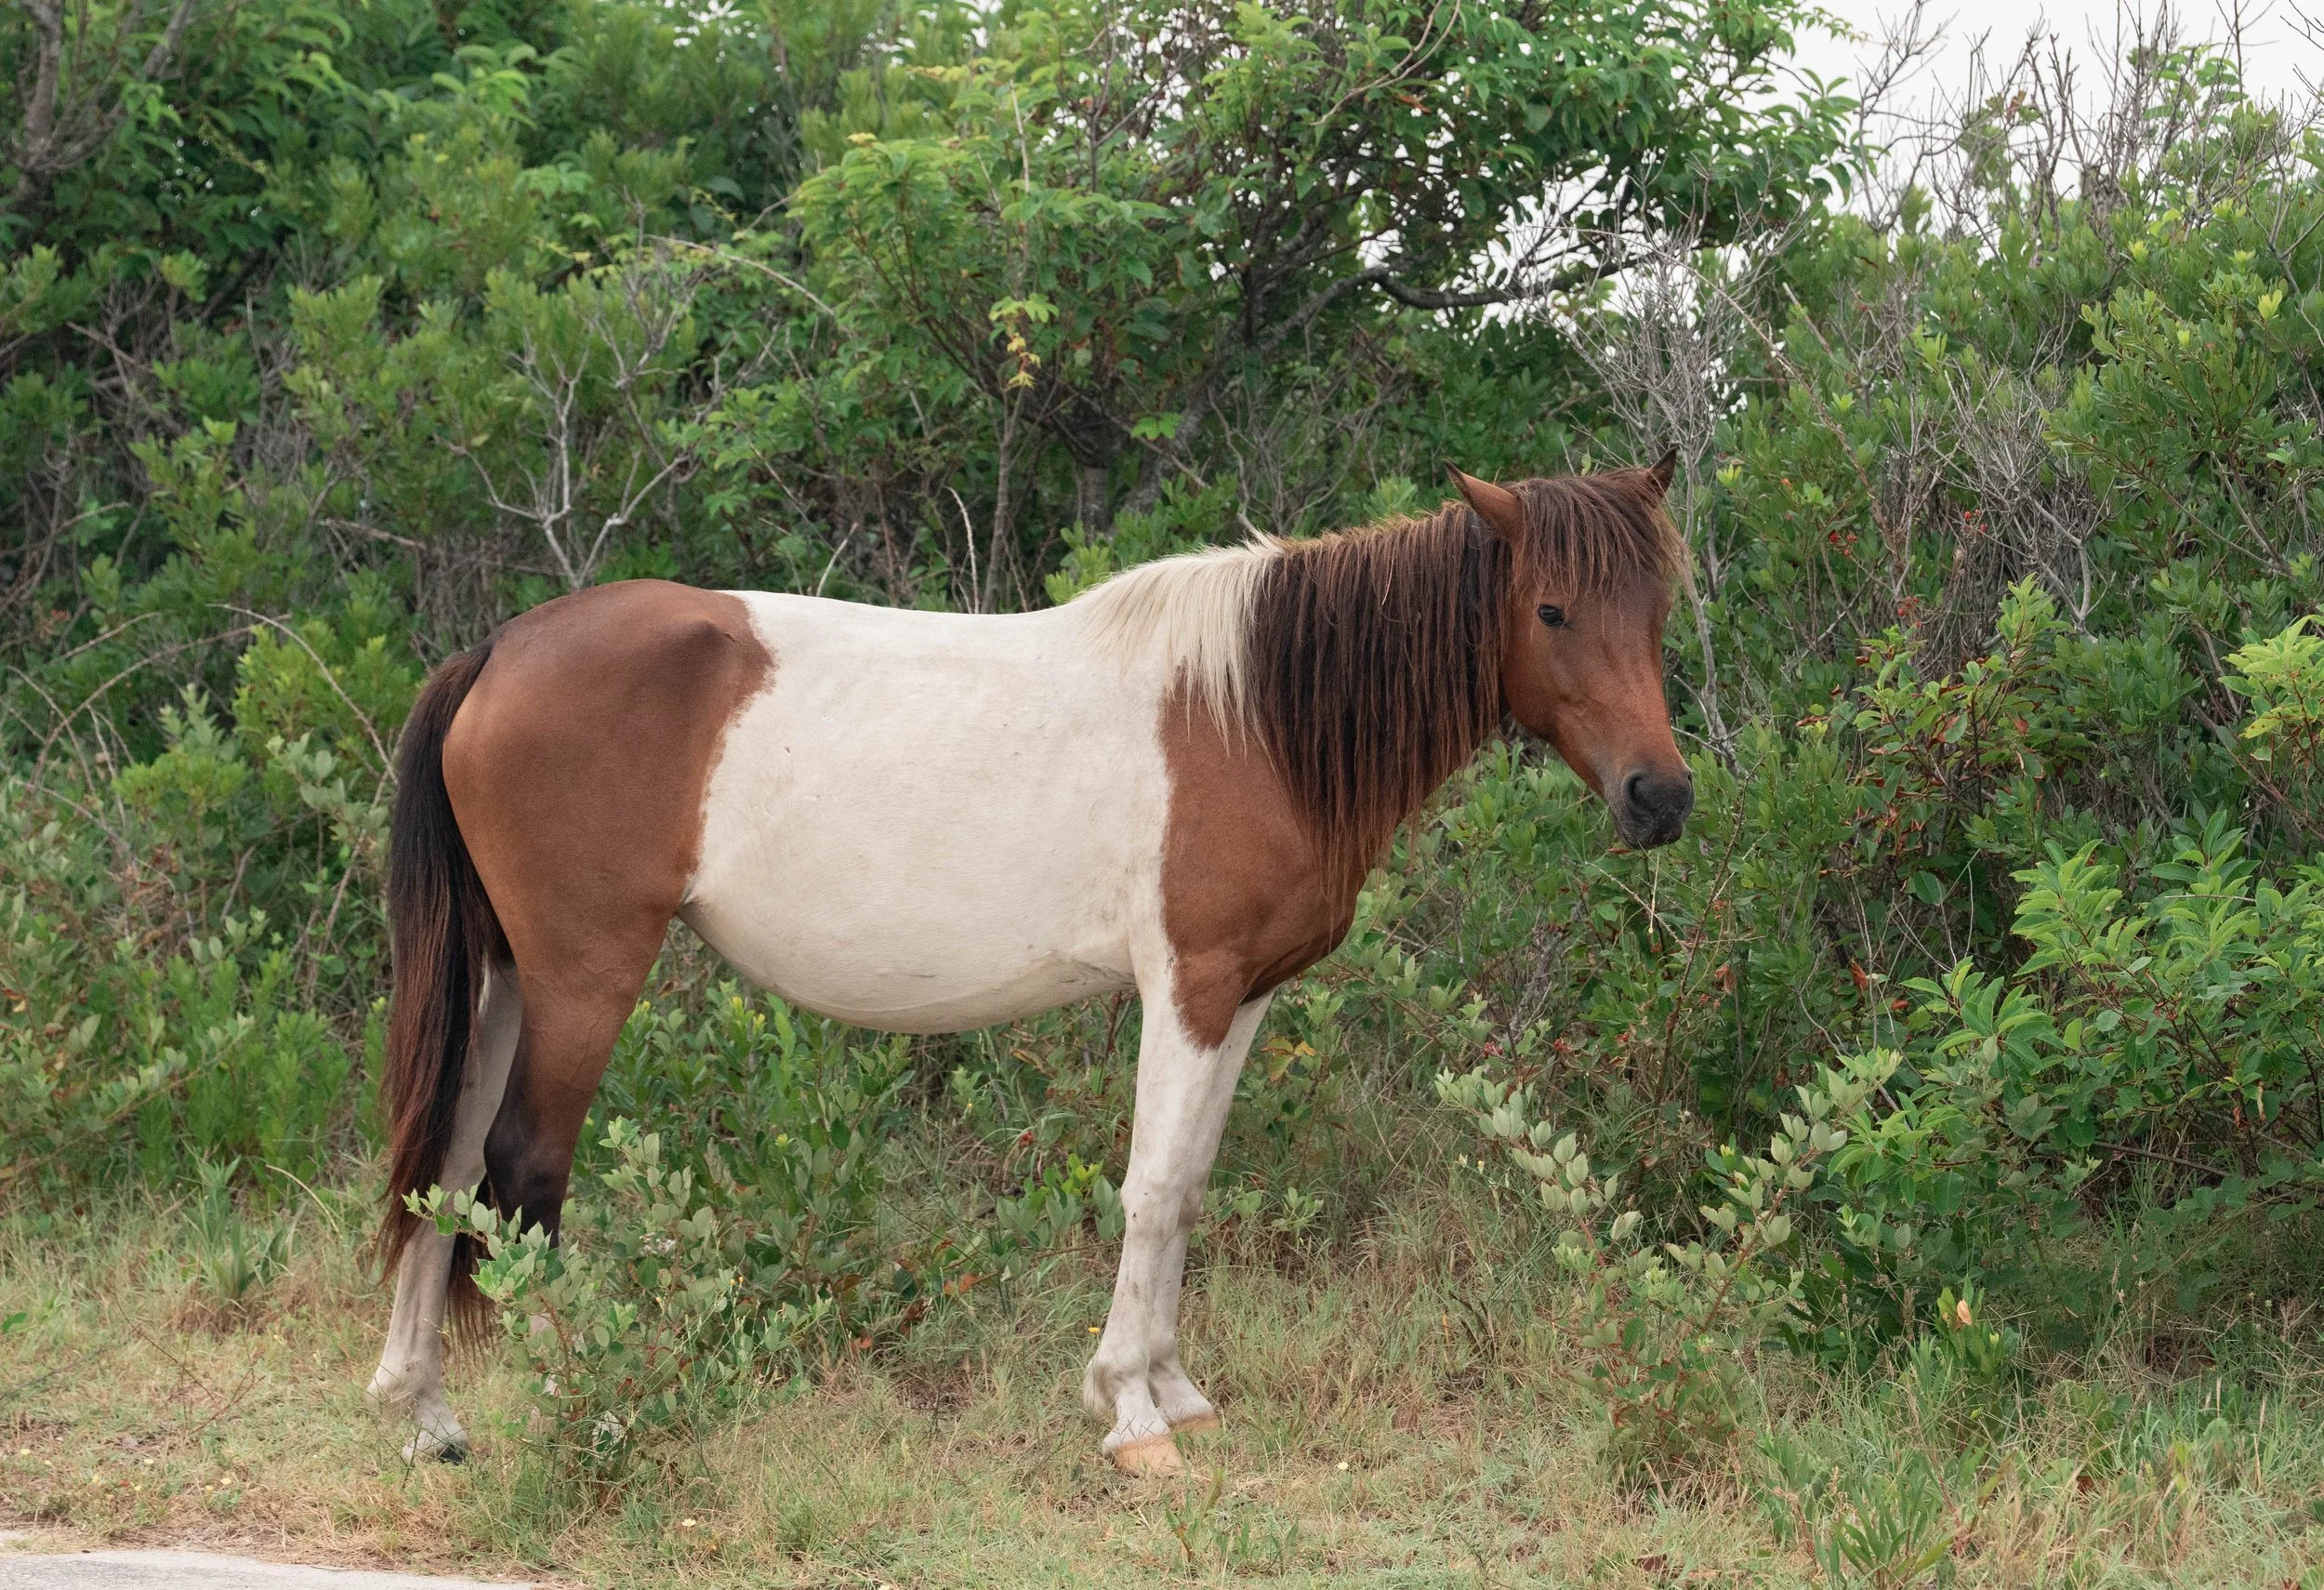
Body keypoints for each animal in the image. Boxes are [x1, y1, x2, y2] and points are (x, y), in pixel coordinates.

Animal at [366, 460, 1696, 1475]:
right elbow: (1151, 1189)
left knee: (446, 1165)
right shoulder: (1189, 986)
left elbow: (1188, 1185)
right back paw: (579, 1406)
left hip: (504, 976)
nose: (1660, 798)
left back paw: (425, 1416)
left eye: (1656, 609)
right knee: (521, 1170)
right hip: (583, 975)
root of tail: (500, 649)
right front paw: (1132, 1414)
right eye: (1554, 612)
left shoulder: (1243, 998)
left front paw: (1177, 1391)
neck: (1258, 715)